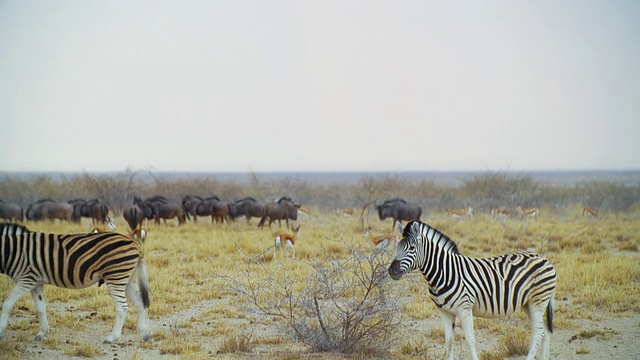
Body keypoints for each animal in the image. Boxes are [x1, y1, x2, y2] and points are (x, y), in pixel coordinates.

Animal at [0, 222, 152, 344]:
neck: (13, 250)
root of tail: (134, 244)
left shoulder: (26, 279)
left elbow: (7, 304)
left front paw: (1, 330)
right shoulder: (36, 283)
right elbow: (40, 308)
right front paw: (42, 333)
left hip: (116, 277)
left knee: (122, 307)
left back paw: (112, 337)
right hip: (126, 280)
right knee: (140, 303)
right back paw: (144, 333)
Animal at [388, 219, 556, 360]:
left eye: (411, 248)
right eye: (397, 247)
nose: (392, 271)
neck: (445, 272)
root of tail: (544, 258)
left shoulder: (464, 308)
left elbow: (470, 339)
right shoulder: (445, 312)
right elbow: (449, 342)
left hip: (538, 302)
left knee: (538, 333)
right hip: (528, 303)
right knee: (546, 333)